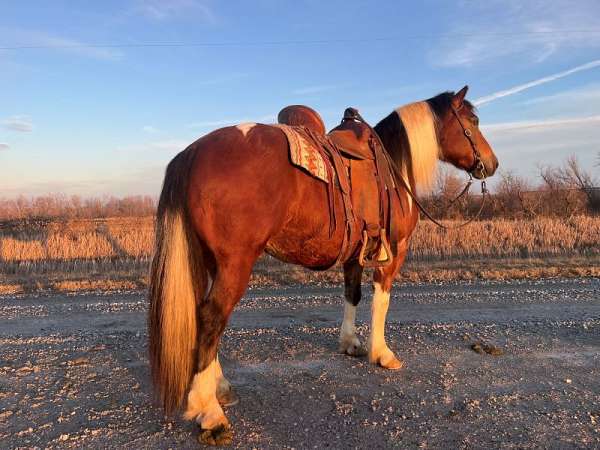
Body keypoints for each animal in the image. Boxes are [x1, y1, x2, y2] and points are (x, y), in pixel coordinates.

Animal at [148, 85, 500, 446]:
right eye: (473, 121)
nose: (492, 163)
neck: (392, 167)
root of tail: (192, 153)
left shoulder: (357, 253)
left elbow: (352, 295)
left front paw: (350, 343)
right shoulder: (394, 251)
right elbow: (381, 300)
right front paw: (381, 353)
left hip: (210, 263)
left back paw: (219, 388)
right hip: (235, 264)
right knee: (211, 318)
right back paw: (209, 413)